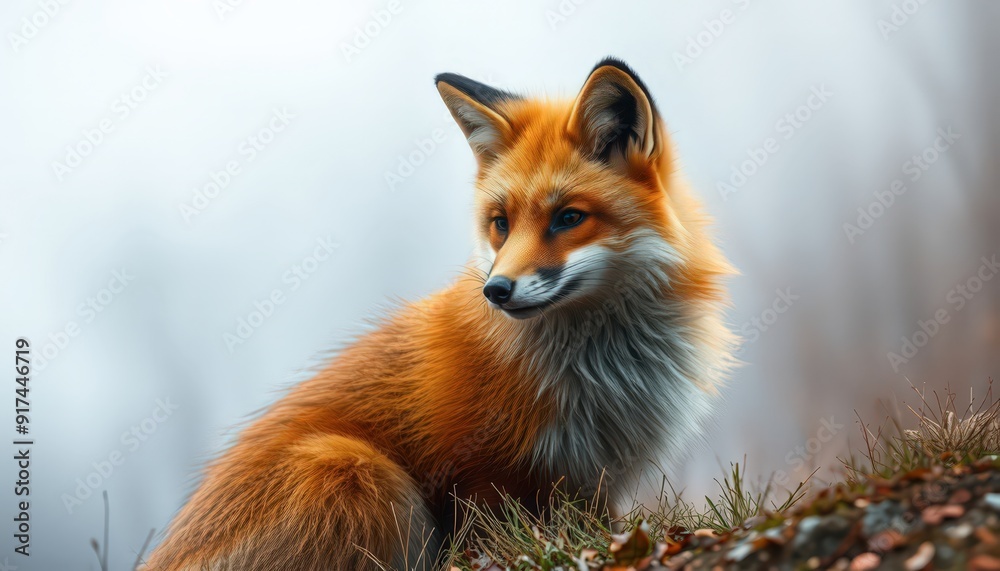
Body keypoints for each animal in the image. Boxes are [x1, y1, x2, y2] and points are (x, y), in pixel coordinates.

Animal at [146, 58, 735, 571]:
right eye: (500, 223)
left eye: (569, 218)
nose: (496, 291)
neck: (599, 371)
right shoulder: (479, 476)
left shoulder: (591, 486)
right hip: (352, 469)